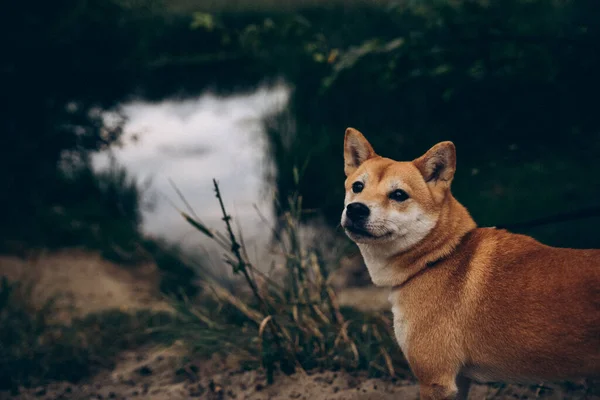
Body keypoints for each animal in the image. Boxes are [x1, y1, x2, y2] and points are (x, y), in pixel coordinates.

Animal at [340, 129, 596, 400]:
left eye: (399, 195)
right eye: (358, 187)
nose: (356, 209)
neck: (438, 257)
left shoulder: (435, 380)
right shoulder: (459, 379)